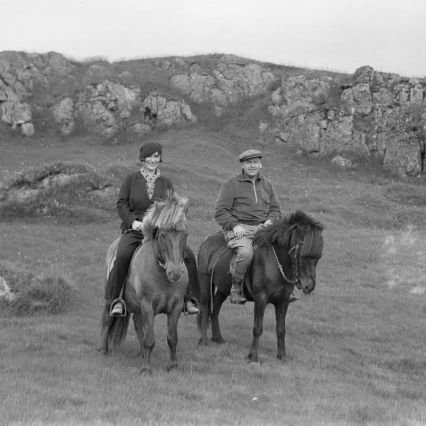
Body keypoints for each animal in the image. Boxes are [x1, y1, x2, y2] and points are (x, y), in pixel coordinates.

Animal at [198, 210, 324, 362]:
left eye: (317, 257)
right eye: (303, 254)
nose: (308, 286)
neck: (275, 263)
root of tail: (206, 241)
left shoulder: (283, 301)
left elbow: (281, 329)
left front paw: (282, 356)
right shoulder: (261, 299)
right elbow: (257, 328)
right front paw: (253, 356)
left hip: (223, 288)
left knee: (215, 308)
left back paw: (218, 338)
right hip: (205, 281)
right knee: (205, 308)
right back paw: (203, 341)